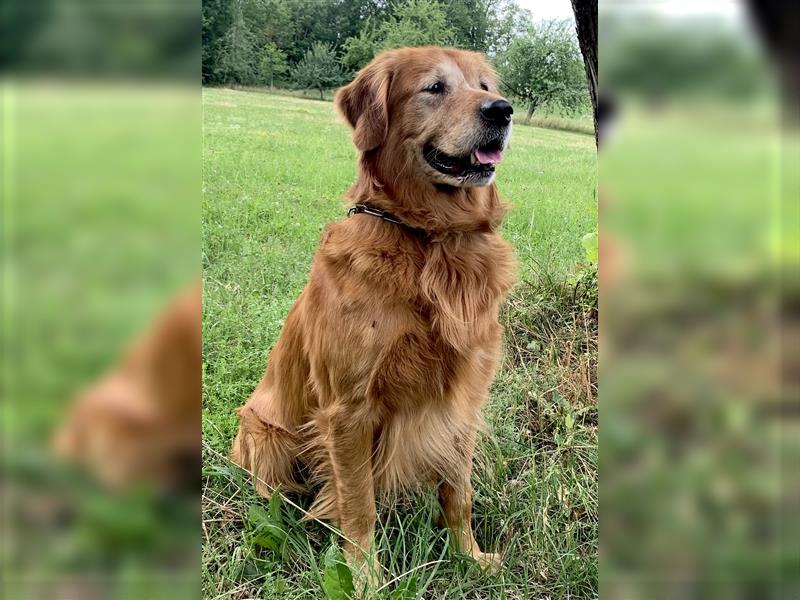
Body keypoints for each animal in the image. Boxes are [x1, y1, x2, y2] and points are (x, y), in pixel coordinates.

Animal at [231, 47, 520, 580]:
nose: (502, 111)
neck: (429, 239)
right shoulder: (349, 411)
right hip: (265, 436)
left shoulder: (463, 401)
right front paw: (366, 577)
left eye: (485, 86)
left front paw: (469, 556)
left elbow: (459, 493)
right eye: (434, 88)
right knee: (273, 494)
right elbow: (358, 504)